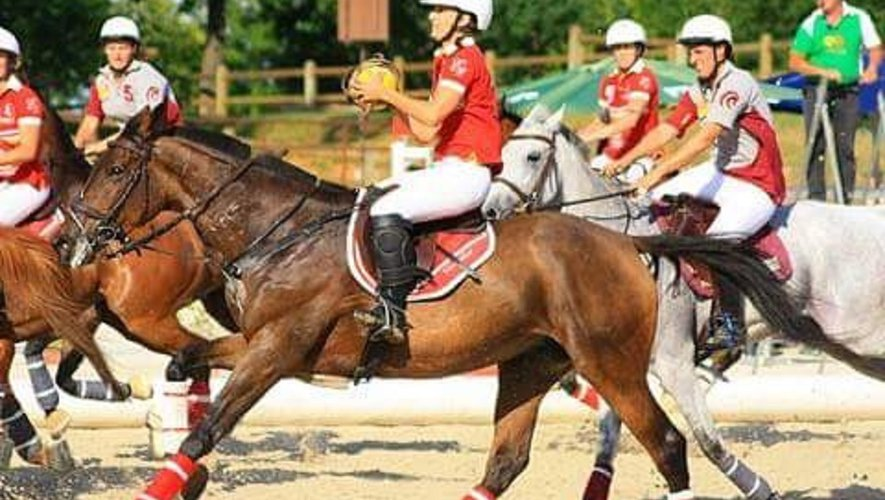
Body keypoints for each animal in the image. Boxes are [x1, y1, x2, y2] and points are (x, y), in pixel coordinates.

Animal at [65, 103, 824, 500]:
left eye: (114, 168)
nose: (74, 237)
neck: (279, 228)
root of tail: (626, 241)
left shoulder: (277, 350)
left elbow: (209, 426)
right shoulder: (266, 345)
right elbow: (187, 363)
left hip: (610, 361)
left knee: (666, 442)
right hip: (530, 363)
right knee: (505, 461)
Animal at [482, 105, 885, 499]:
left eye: (533, 156)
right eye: (503, 155)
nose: (489, 211)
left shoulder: (671, 360)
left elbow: (708, 441)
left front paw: (759, 488)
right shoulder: (620, 363)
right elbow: (609, 434)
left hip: (861, 335)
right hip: (843, 346)